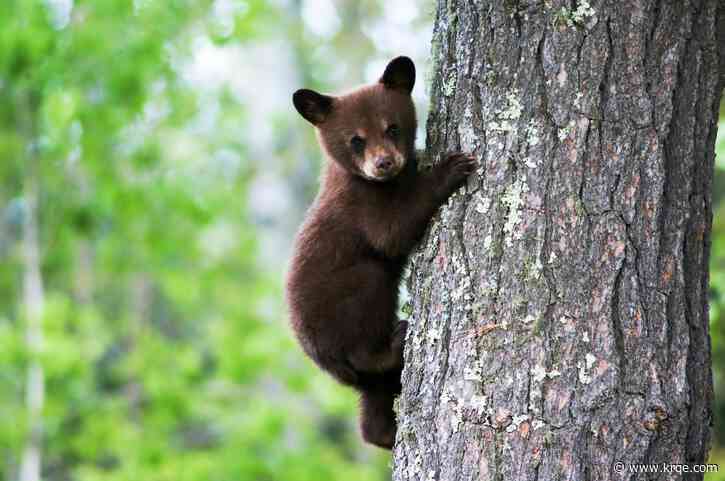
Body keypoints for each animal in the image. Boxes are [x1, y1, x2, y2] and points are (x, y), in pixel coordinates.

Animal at [285, 56, 475, 449]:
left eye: (392, 128)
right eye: (356, 140)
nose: (384, 163)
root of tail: (324, 362)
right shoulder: (361, 205)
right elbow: (392, 233)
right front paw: (450, 168)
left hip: (365, 382)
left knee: (373, 403)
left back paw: (385, 433)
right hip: (347, 304)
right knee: (368, 316)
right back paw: (395, 339)